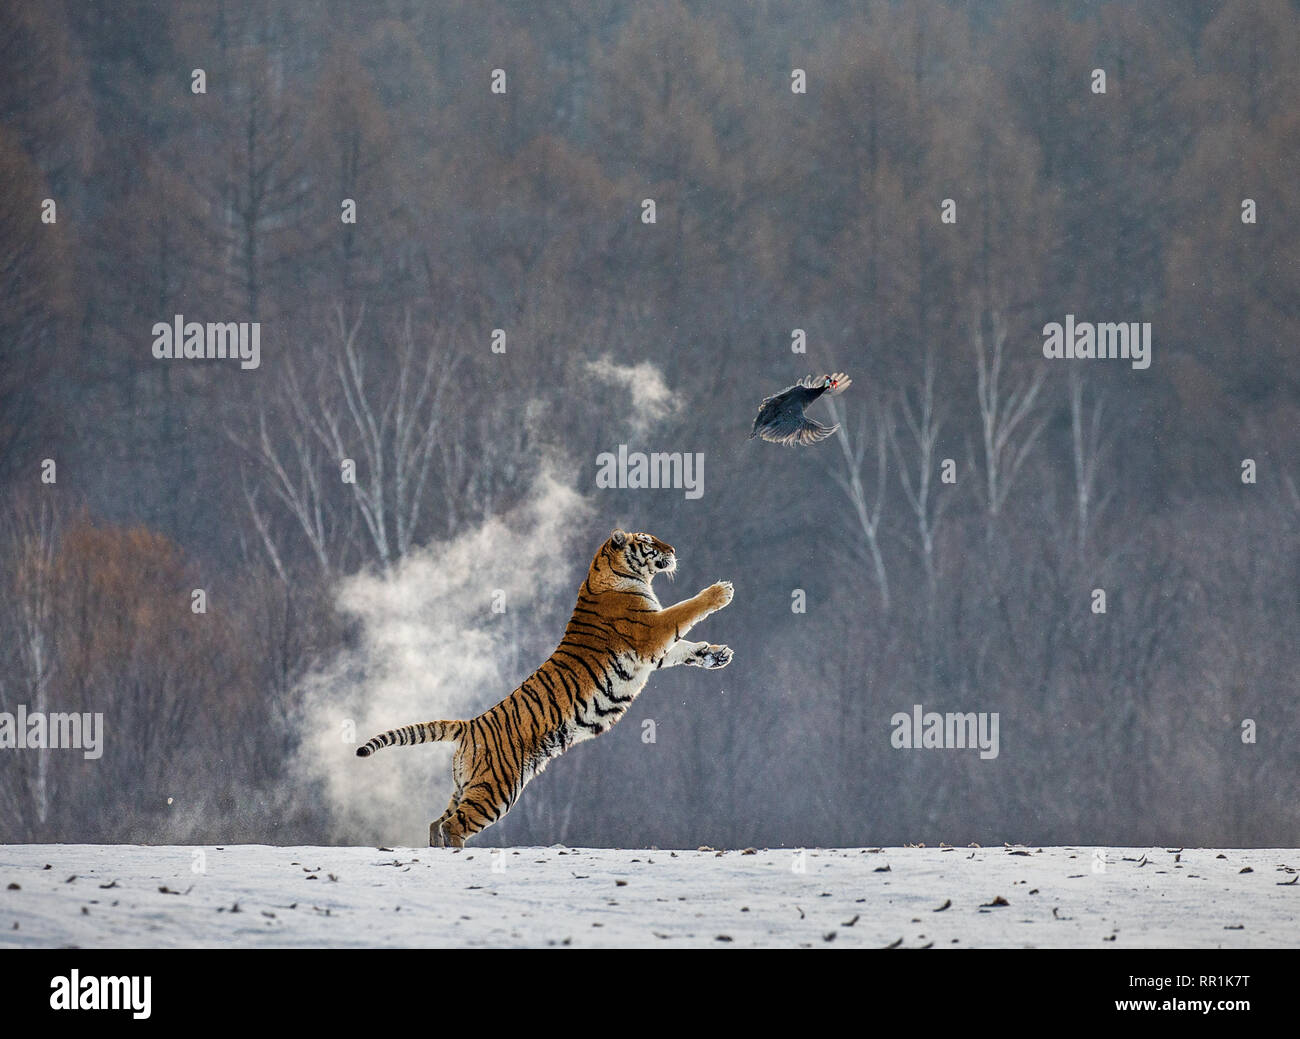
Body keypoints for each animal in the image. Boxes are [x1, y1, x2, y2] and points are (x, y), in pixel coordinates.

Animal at [356, 528, 735, 847]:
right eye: (648, 541)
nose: (673, 550)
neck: (614, 572)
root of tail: (470, 724)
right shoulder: (652, 631)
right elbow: (685, 610)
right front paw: (721, 591)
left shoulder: (654, 651)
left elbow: (686, 648)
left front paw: (716, 655)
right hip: (496, 789)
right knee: (453, 825)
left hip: (468, 785)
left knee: (437, 822)